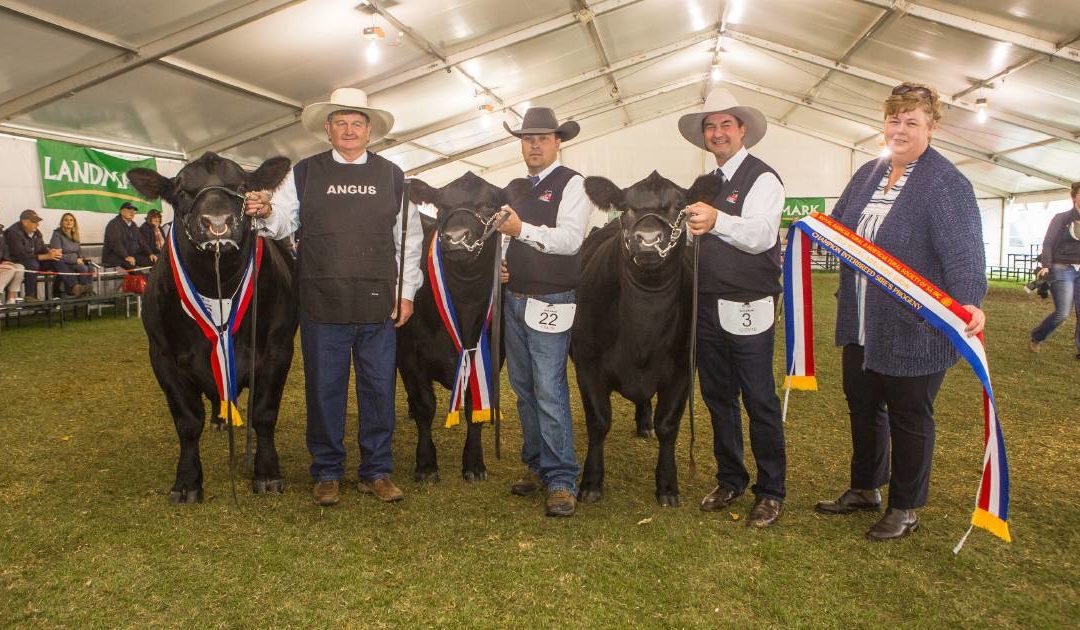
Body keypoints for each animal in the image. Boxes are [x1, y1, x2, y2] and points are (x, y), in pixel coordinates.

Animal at [128, 152, 298, 503]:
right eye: (181, 192)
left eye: (243, 187)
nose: (217, 222)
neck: (217, 285)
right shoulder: (163, 357)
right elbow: (188, 422)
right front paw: (187, 483)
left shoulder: (278, 351)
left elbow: (264, 414)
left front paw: (267, 474)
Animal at [574, 171, 717, 507]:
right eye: (626, 207)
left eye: (679, 206)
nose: (649, 240)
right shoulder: (587, 364)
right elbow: (599, 421)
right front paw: (591, 483)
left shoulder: (682, 370)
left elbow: (669, 425)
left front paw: (667, 486)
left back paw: (644, 423)